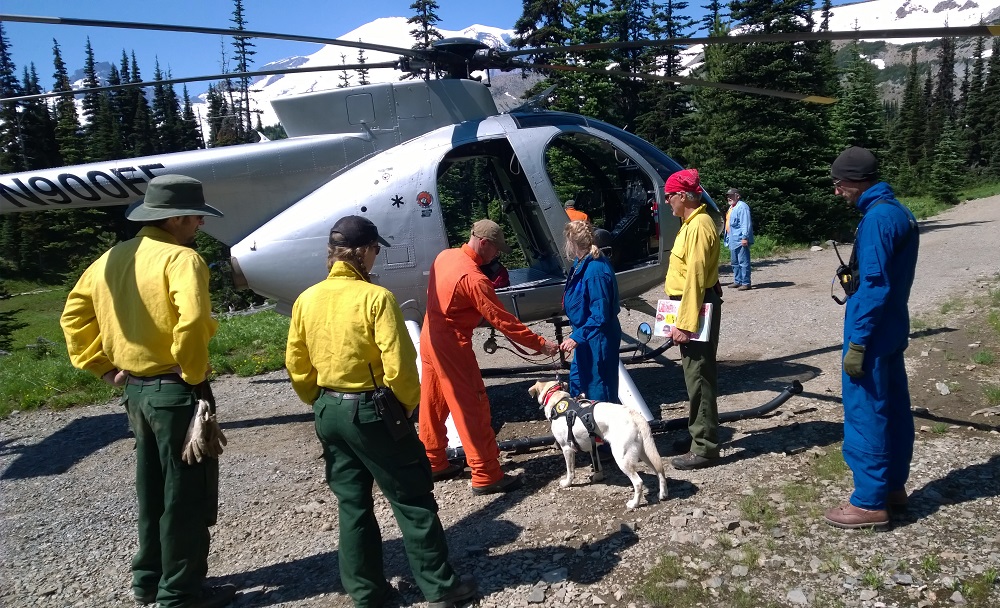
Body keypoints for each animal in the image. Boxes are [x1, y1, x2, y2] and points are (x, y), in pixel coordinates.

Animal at [528, 380, 668, 508]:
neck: (558, 399)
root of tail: (636, 416)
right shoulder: (592, 447)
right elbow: (597, 465)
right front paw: (598, 476)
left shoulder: (567, 448)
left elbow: (570, 471)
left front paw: (567, 483)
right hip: (646, 453)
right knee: (660, 471)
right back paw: (663, 494)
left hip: (622, 458)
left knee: (638, 482)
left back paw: (634, 504)